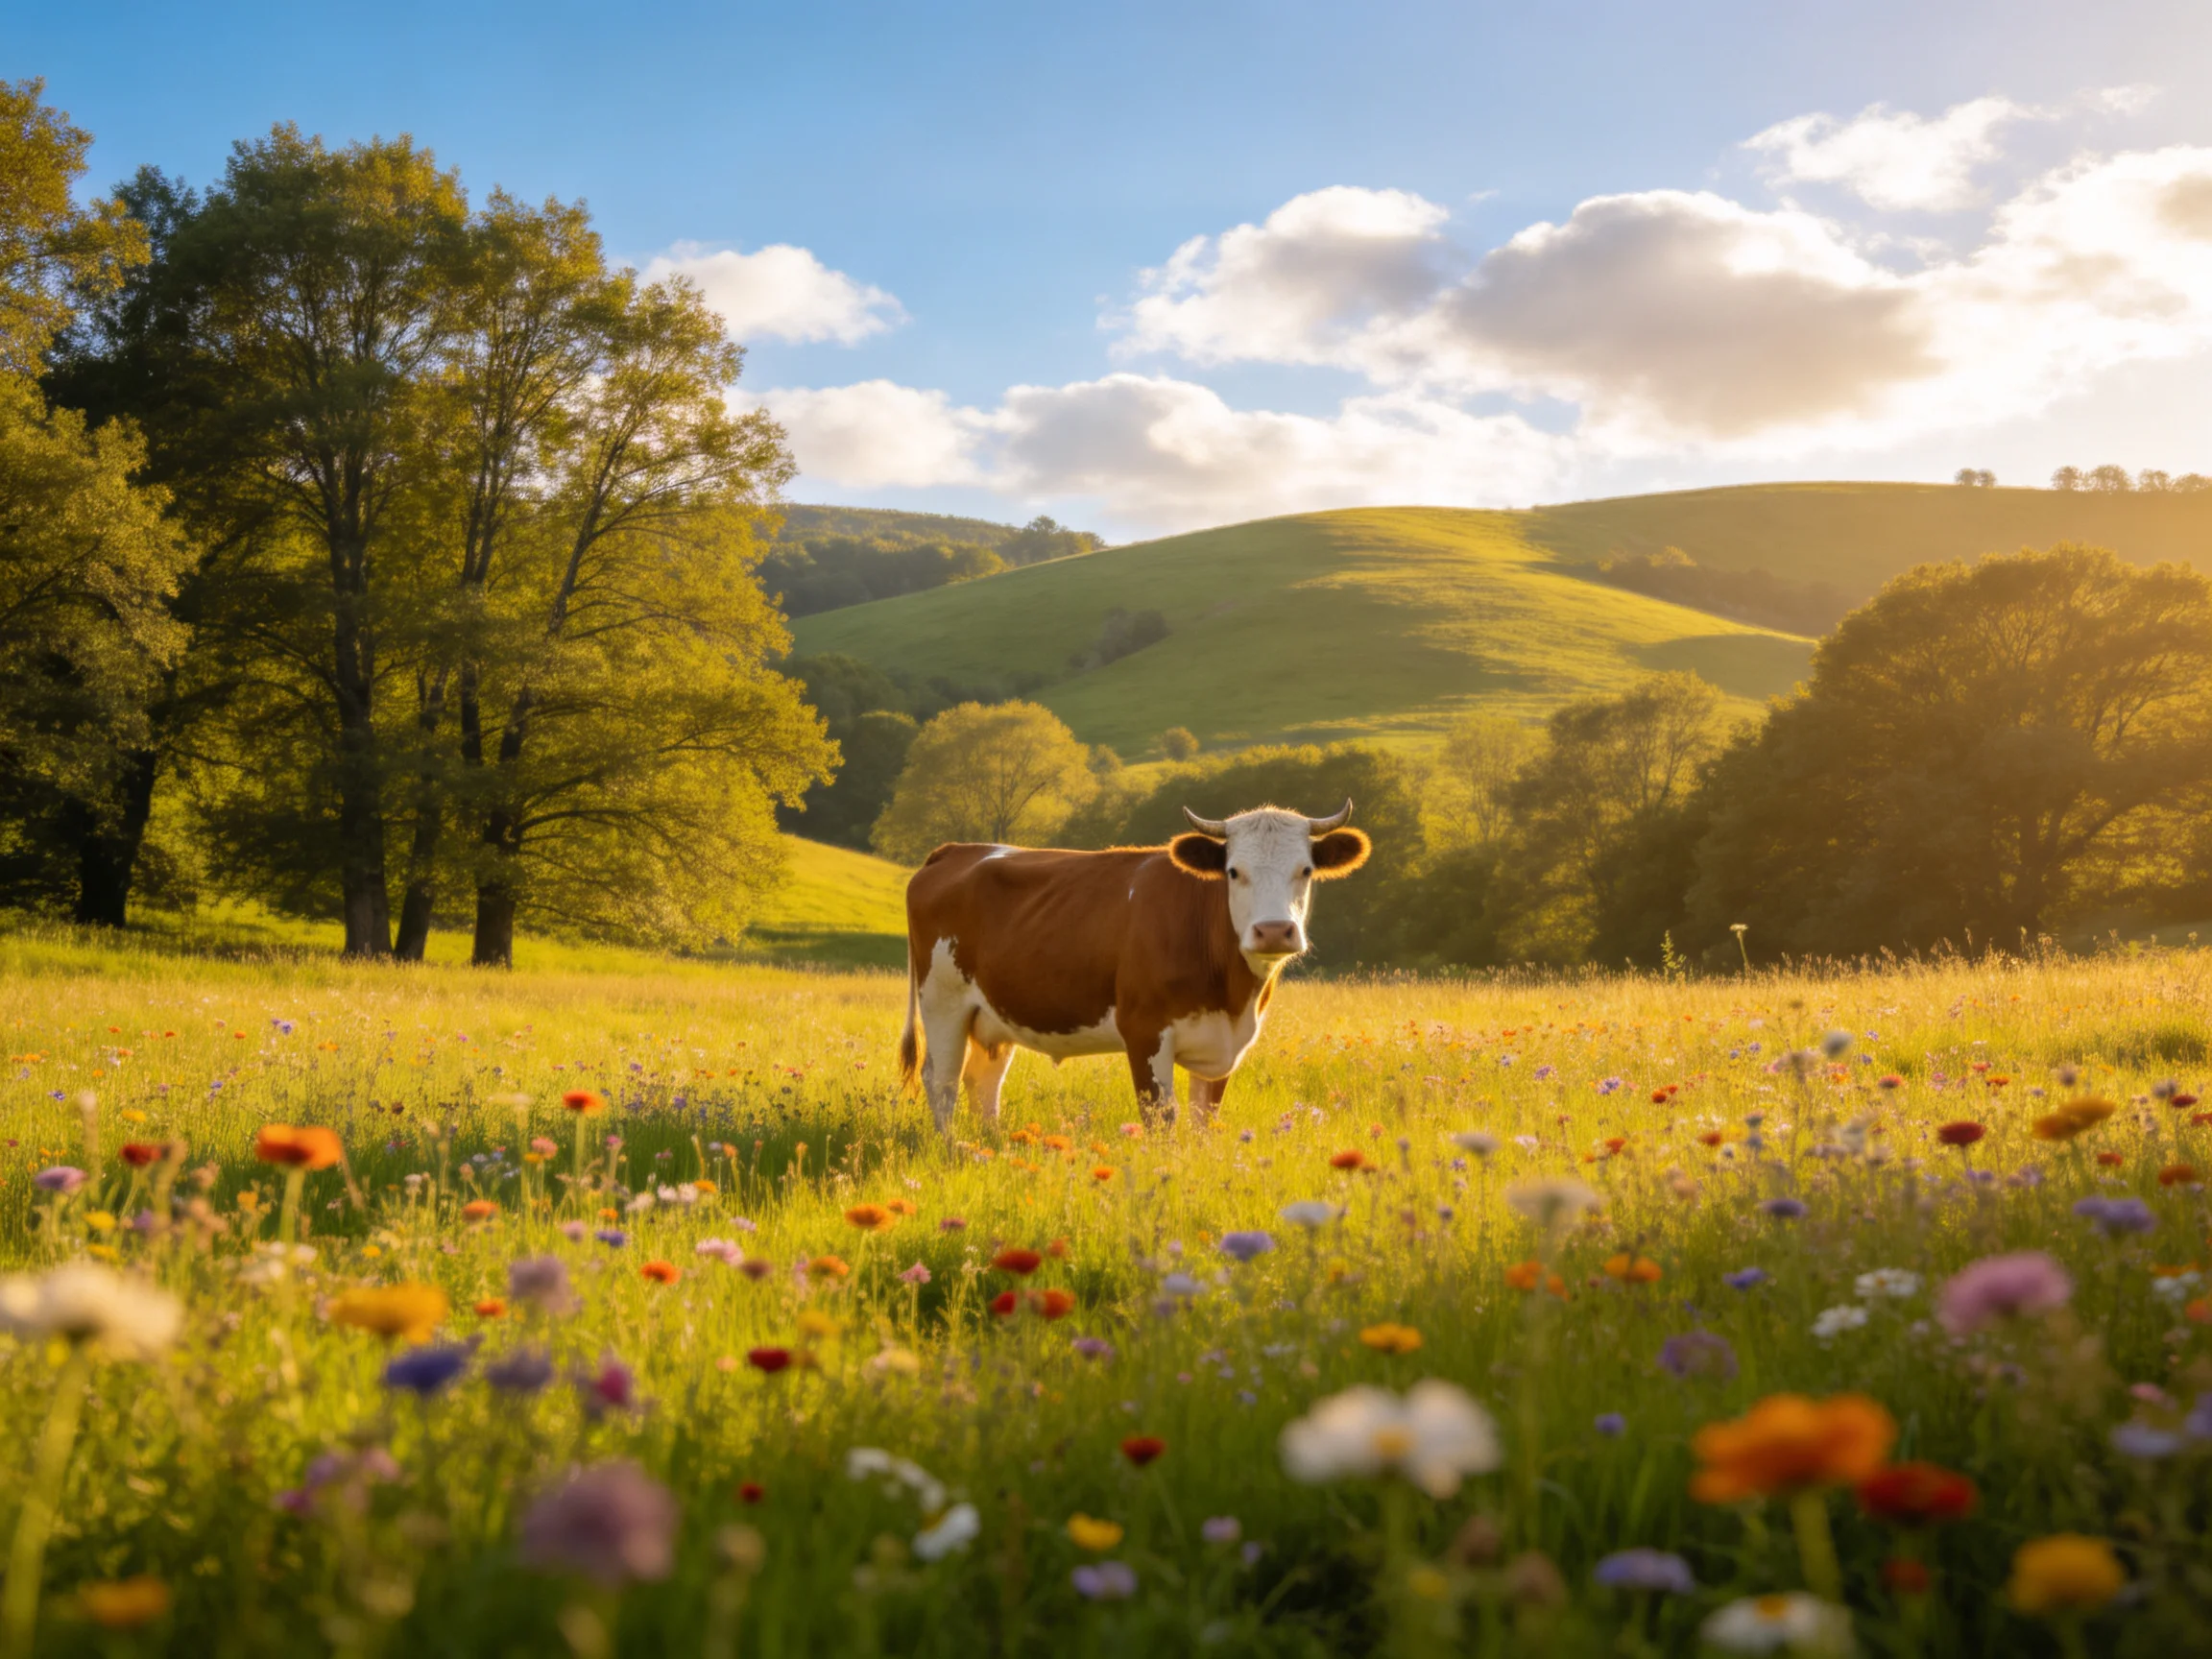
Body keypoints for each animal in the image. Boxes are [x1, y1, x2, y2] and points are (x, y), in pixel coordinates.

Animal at [897, 800, 1372, 1132]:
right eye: (1234, 872)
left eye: (1306, 870)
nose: (1273, 931)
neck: (1232, 996)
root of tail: (958, 850)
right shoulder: (1143, 1031)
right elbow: (1162, 1119)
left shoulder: (1223, 1046)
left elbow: (1205, 1120)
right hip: (943, 1003)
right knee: (942, 1081)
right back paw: (952, 1148)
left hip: (993, 1016)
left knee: (983, 1081)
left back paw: (988, 1145)